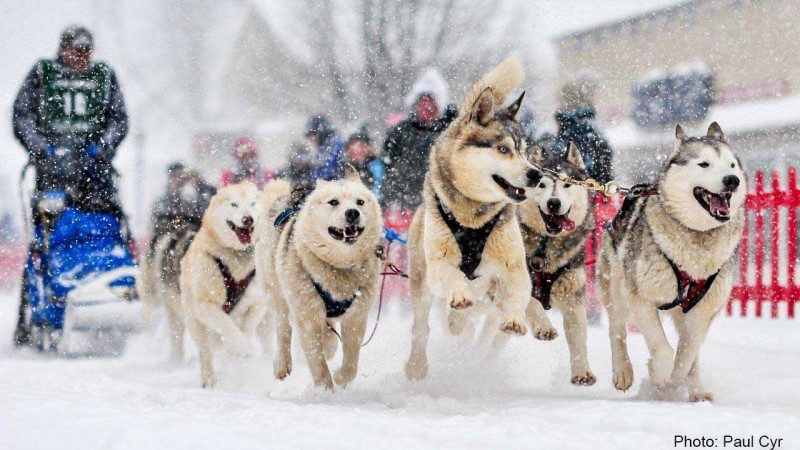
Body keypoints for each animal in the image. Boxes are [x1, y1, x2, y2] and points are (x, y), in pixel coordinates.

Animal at [180, 181, 268, 388]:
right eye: (234, 204)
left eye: (253, 203)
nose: (248, 219)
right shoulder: (205, 305)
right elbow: (226, 324)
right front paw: (242, 346)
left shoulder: (258, 302)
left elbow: (248, 325)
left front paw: (245, 343)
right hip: (196, 325)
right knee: (206, 354)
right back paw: (210, 382)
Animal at [256, 166, 382, 390]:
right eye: (333, 202)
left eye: (360, 202)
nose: (352, 212)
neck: (339, 267)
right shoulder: (307, 318)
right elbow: (318, 364)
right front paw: (324, 391)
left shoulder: (356, 317)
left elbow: (351, 363)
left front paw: (340, 376)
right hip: (276, 291)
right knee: (283, 326)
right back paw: (282, 363)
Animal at [404, 57, 536, 380]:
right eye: (503, 149)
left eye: (523, 151)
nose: (536, 174)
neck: (473, 218)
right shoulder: (440, 263)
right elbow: (452, 276)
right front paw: (460, 293)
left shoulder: (514, 268)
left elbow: (518, 293)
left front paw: (514, 318)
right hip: (421, 282)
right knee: (422, 327)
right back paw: (418, 364)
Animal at [516, 142, 596, 384]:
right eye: (541, 184)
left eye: (567, 183)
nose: (553, 203)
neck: (545, 247)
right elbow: (531, 303)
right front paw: (544, 326)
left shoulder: (573, 296)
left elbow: (579, 338)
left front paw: (582, 371)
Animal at [596, 123, 748, 400]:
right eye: (704, 164)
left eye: (731, 165)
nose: (732, 180)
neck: (697, 236)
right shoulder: (641, 299)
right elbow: (663, 349)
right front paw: (659, 375)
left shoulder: (702, 311)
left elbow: (686, 357)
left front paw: (671, 385)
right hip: (616, 287)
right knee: (617, 329)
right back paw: (623, 371)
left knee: (692, 354)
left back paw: (697, 391)